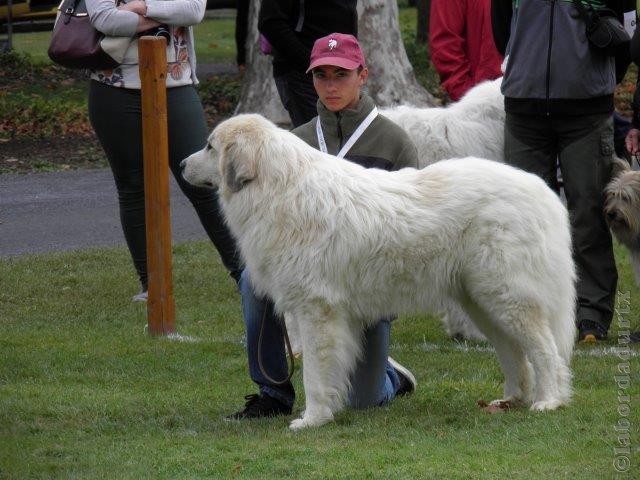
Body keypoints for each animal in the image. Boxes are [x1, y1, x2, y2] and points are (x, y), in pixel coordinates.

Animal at [181, 114, 576, 430]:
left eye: (209, 146)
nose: (182, 165)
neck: (279, 187)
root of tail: (542, 191)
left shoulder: (316, 311)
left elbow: (314, 374)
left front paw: (312, 419)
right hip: (481, 302)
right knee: (514, 353)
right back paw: (511, 400)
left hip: (508, 297)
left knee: (544, 350)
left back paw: (549, 401)